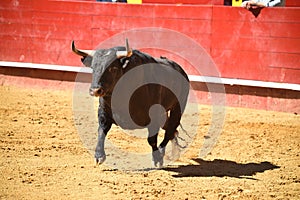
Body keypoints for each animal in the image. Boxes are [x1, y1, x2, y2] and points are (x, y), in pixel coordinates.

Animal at [72, 39, 190, 167]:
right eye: (93, 68)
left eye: (113, 68)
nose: (95, 90)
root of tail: (181, 70)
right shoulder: (103, 112)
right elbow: (101, 131)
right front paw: (99, 156)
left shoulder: (154, 116)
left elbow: (152, 140)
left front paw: (157, 159)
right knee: (171, 129)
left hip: (178, 108)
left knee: (170, 129)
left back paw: (163, 153)